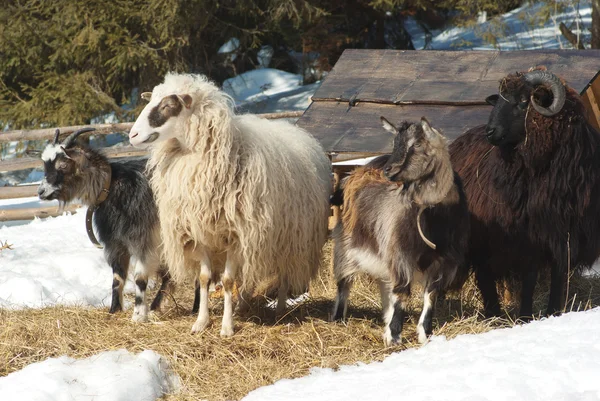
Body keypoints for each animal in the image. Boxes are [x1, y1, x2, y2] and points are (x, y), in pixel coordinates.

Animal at [37, 128, 199, 318]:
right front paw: (114, 310)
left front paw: (139, 313)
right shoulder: (116, 243)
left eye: (62, 164)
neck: (112, 188)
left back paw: (195, 308)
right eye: (45, 165)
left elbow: (140, 277)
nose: (41, 191)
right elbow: (117, 279)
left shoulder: (144, 241)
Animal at [128, 72, 330, 334]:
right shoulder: (201, 233)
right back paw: (243, 305)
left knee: (284, 272)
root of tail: (293, 129)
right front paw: (201, 322)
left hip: (291, 237)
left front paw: (226, 327)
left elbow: (226, 280)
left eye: (168, 105)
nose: (132, 135)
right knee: (249, 275)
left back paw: (279, 310)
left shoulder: (237, 235)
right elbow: (205, 279)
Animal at [332, 117, 468, 346]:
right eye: (395, 142)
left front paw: (425, 334)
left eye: (418, 144)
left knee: (385, 284)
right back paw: (338, 319)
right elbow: (402, 292)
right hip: (347, 245)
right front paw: (395, 336)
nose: (389, 169)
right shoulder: (401, 254)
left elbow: (430, 296)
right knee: (345, 281)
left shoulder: (442, 262)